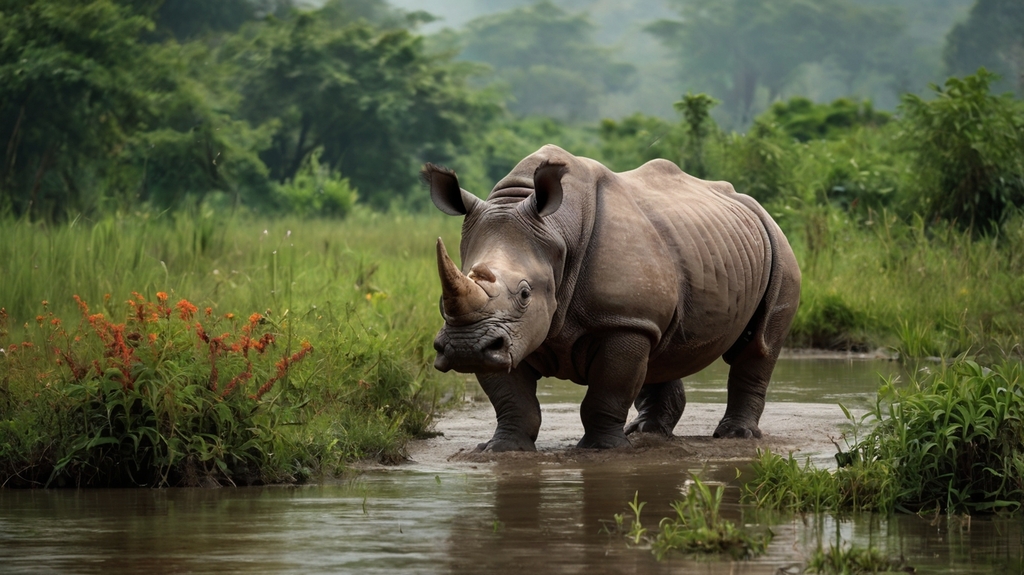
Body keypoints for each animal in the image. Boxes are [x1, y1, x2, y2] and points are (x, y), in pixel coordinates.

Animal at [424, 145, 800, 451]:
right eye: (442, 301)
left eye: (526, 293)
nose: (465, 348)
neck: (557, 232)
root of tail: (753, 205)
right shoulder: (503, 335)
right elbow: (511, 398)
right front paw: (501, 450)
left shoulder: (622, 320)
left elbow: (608, 390)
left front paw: (603, 450)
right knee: (661, 348)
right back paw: (647, 433)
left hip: (780, 246)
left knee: (760, 345)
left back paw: (735, 436)